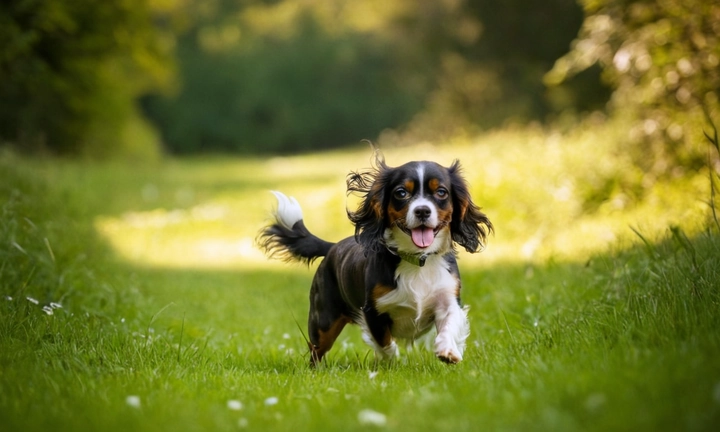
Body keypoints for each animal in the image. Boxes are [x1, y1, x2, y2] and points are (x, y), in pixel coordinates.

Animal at [260, 154, 496, 364]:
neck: (417, 260)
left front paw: (448, 351)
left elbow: (448, 325)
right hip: (324, 321)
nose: (422, 211)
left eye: (441, 192)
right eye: (401, 193)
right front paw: (389, 363)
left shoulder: (448, 298)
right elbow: (385, 343)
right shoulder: (373, 310)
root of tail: (333, 246)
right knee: (316, 350)